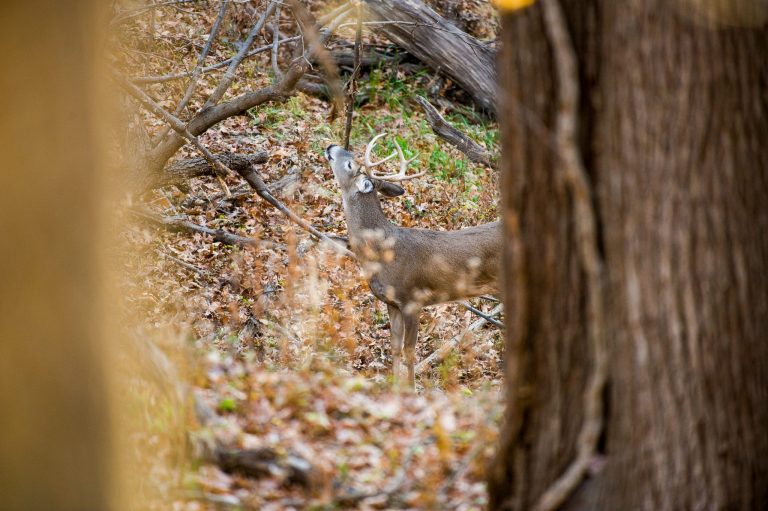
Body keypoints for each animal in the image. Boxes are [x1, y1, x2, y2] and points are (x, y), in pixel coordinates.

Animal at [323, 133, 501, 389]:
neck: (382, 252)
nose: (331, 146)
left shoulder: (413, 300)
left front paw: (412, 390)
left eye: (349, 165)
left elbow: (410, 351)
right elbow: (395, 347)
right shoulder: (391, 302)